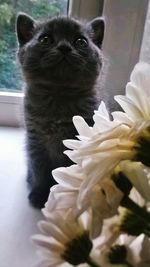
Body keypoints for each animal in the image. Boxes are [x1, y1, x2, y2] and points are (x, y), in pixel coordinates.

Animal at [15, 13, 104, 209]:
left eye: (80, 41)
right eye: (45, 39)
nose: (64, 47)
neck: (59, 95)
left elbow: (71, 168)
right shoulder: (36, 140)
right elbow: (40, 169)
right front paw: (39, 194)